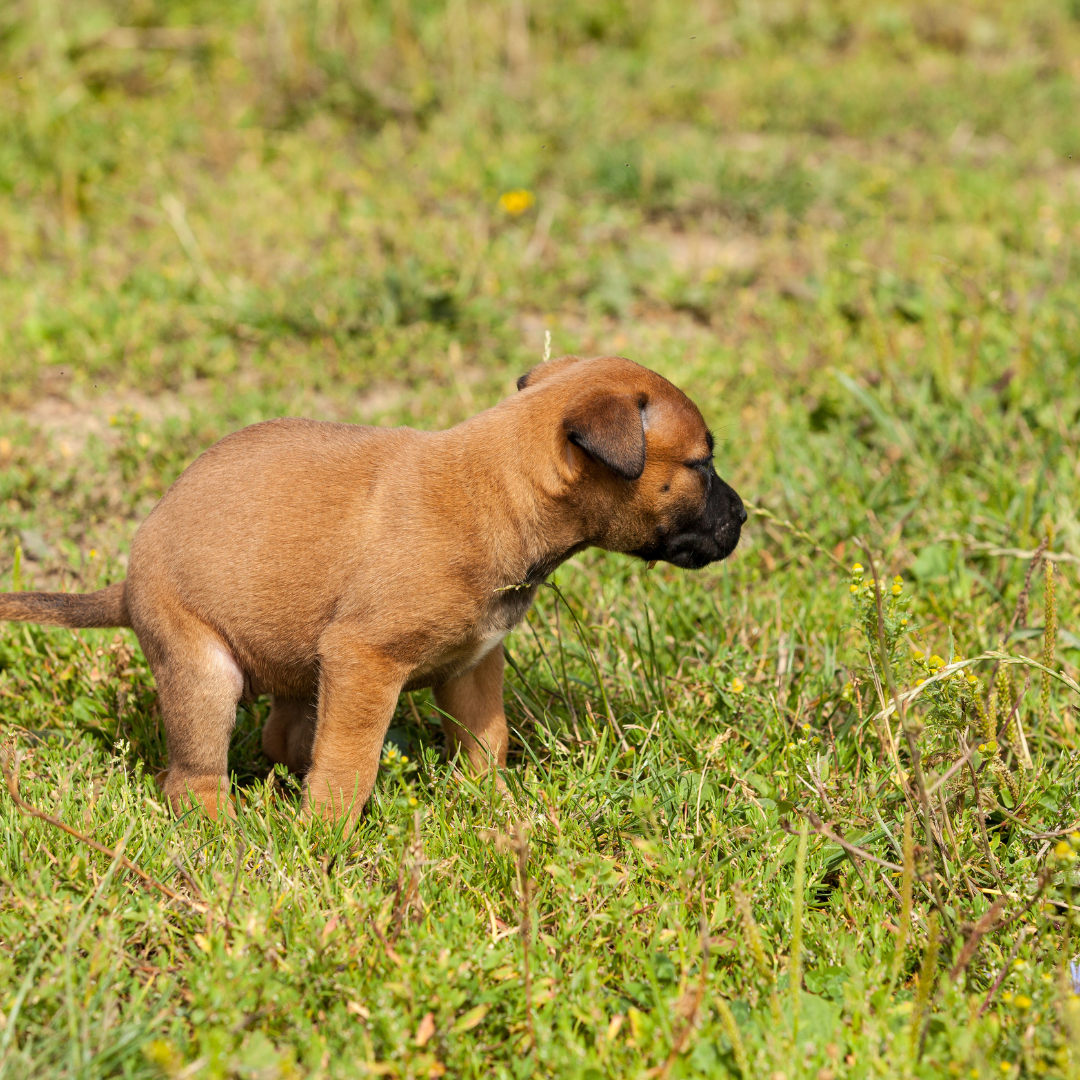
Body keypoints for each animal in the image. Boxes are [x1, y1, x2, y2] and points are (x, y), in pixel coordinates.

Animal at [0, 354, 743, 816]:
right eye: (701, 465)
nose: (742, 518)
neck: (497, 491)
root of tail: (129, 582)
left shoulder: (473, 668)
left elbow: (488, 742)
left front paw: (494, 809)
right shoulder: (365, 660)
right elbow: (348, 763)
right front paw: (325, 840)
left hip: (297, 667)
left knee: (283, 739)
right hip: (202, 671)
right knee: (193, 779)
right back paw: (226, 832)